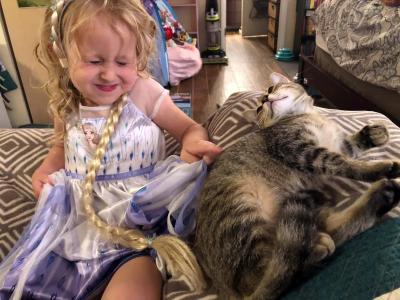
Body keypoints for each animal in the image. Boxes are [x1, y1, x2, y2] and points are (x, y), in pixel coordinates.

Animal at [194, 73, 400, 300]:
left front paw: (374, 134)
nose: (265, 99)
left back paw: (382, 197)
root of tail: (222, 288)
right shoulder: (300, 149)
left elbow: (351, 145)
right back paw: (317, 247)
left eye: (270, 88)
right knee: (275, 274)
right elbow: (343, 164)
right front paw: (379, 167)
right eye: (258, 109)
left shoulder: (337, 145)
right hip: (243, 211)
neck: (307, 114)